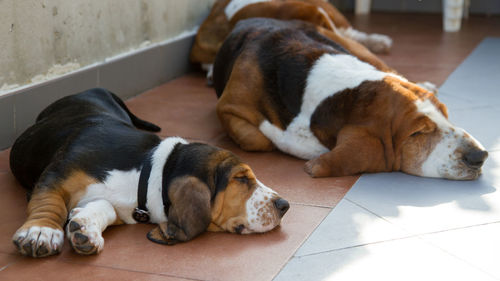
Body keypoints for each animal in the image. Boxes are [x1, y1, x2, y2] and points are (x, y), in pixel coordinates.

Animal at [10, 87, 290, 256]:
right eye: (241, 178)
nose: (284, 205)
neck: (148, 171)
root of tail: (90, 89)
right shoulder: (55, 176)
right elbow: (50, 205)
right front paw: (41, 232)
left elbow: (106, 207)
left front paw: (85, 228)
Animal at [212, 18, 488, 179]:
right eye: (418, 133)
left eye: (445, 114)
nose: (480, 156)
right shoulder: (227, 107)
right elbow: (259, 139)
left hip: (353, 46)